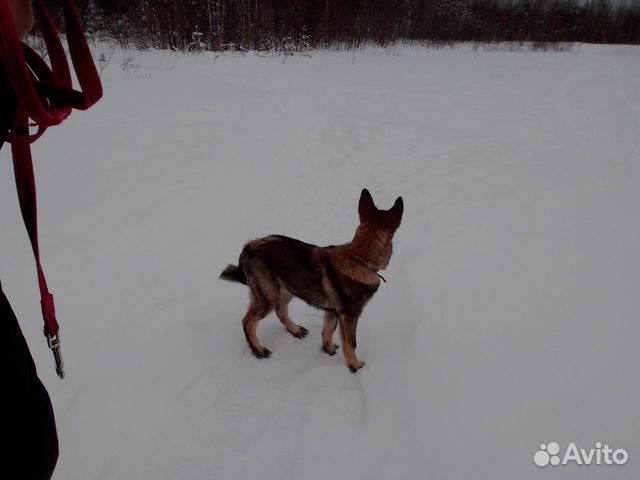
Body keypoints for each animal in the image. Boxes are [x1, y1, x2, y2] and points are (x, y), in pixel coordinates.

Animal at [220, 189, 403, 372]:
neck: (359, 258)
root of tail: (248, 247)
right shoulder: (349, 316)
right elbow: (351, 343)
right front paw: (355, 366)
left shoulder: (332, 312)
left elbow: (328, 331)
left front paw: (328, 349)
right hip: (268, 297)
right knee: (248, 321)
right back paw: (258, 349)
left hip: (287, 289)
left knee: (280, 311)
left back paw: (294, 330)